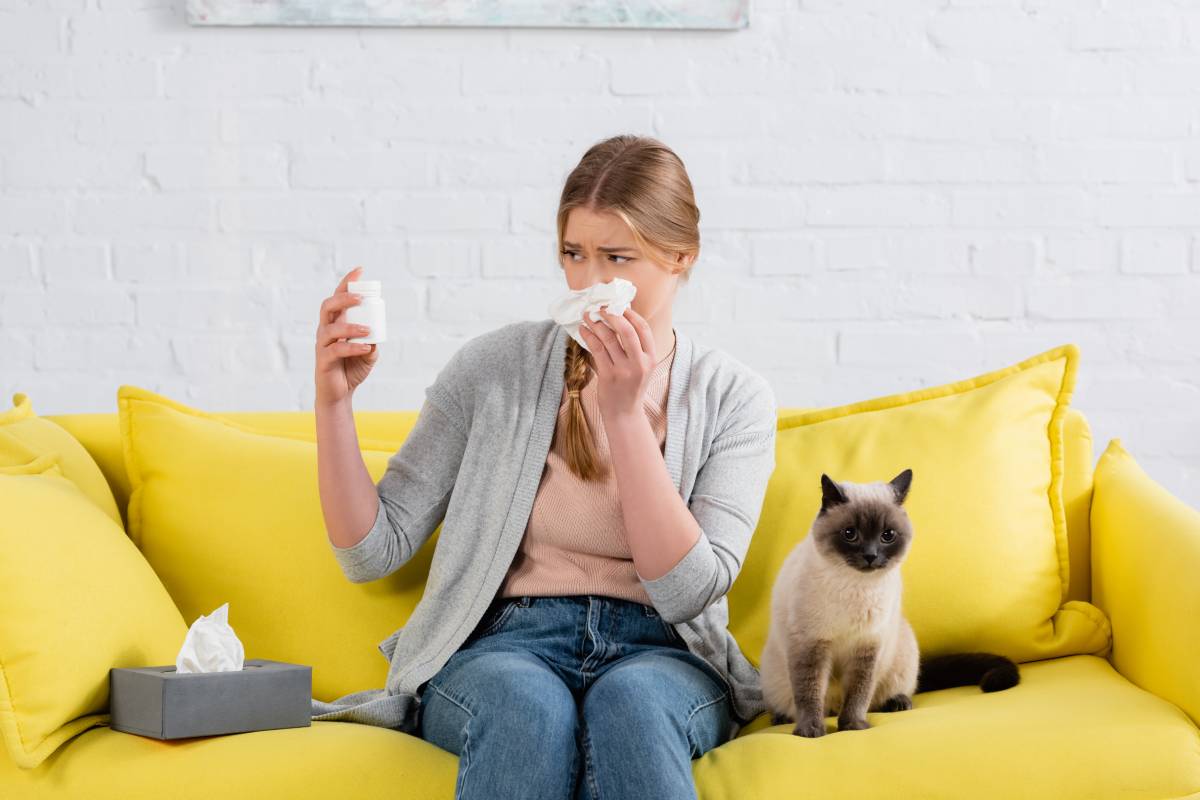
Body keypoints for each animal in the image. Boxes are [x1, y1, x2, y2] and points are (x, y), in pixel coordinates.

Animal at [758, 470, 1012, 738]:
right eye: (850, 534)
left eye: (887, 536)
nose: (871, 556)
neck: (856, 587)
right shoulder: (811, 645)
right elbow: (809, 693)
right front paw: (810, 732)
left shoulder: (867, 648)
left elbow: (859, 694)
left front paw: (853, 726)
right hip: (774, 675)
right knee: (796, 704)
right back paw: (781, 718)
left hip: (902, 653)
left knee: (886, 695)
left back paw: (898, 703)